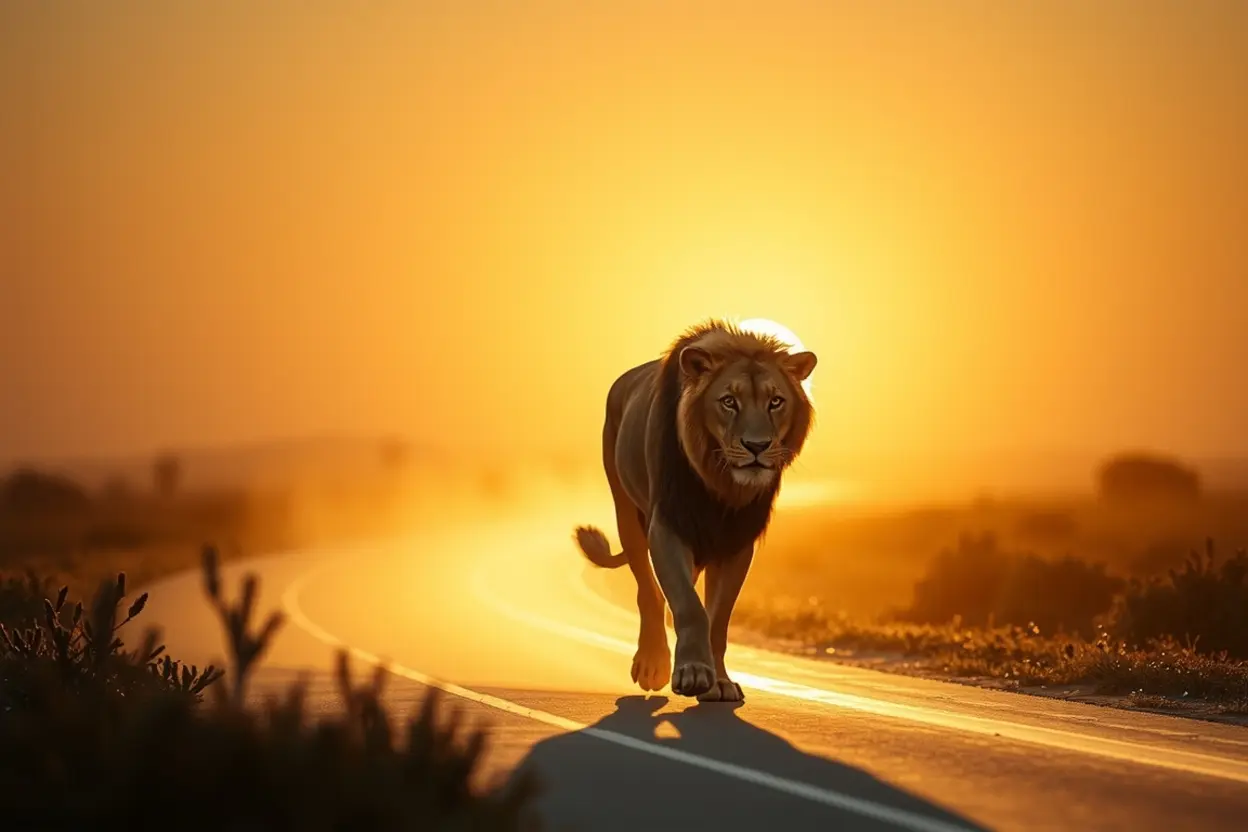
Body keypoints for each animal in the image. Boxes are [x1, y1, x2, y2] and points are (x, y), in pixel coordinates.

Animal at [574, 320, 817, 702]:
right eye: (729, 401)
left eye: (775, 401)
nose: (757, 446)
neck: (720, 483)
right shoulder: (667, 526)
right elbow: (689, 606)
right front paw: (692, 673)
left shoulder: (735, 542)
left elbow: (717, 619)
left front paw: (719, 682)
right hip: (626, 512)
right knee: (649, 592)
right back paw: (652, 664)